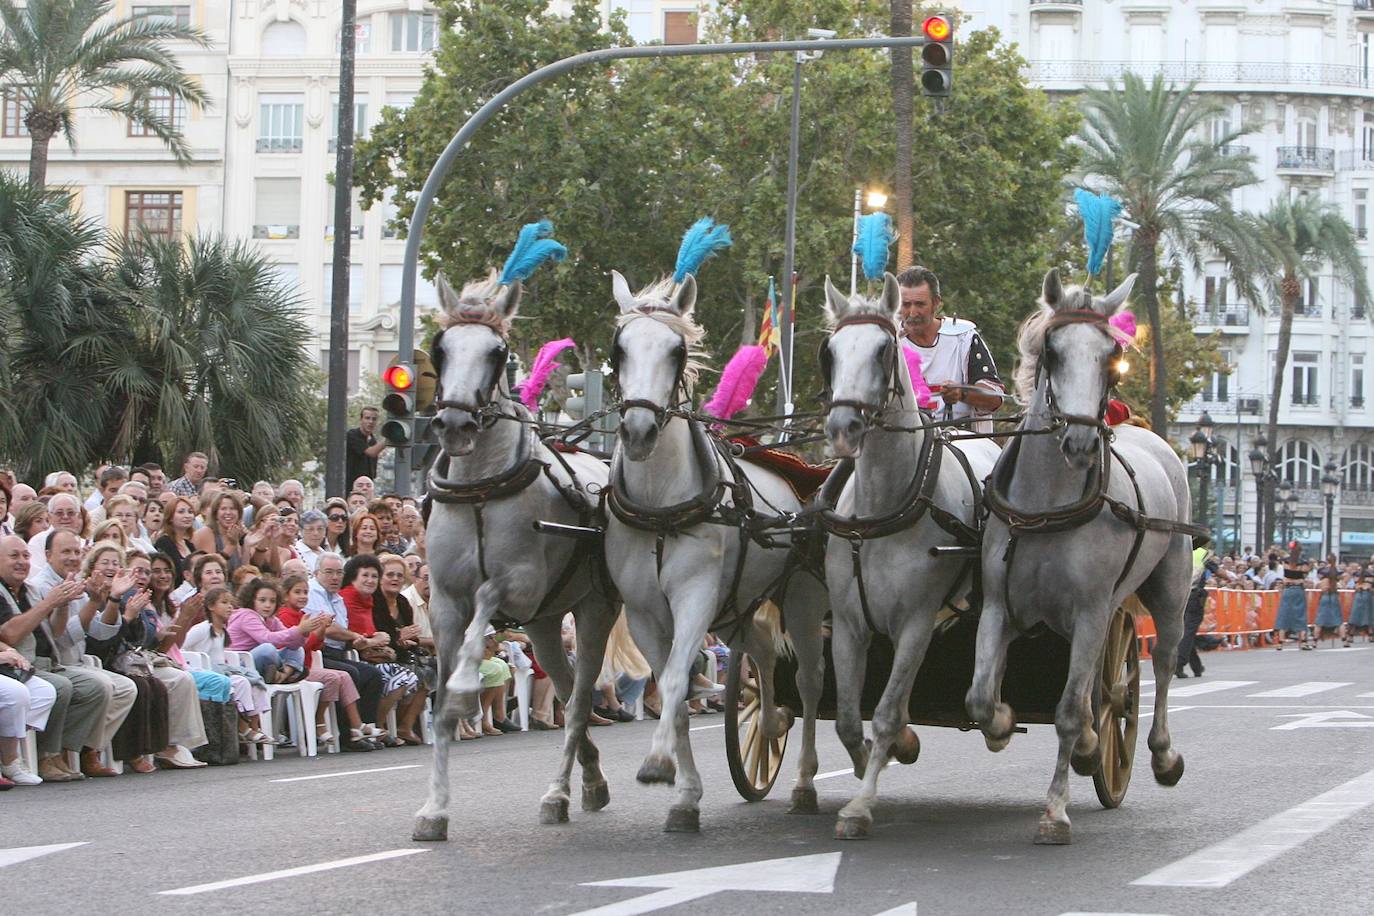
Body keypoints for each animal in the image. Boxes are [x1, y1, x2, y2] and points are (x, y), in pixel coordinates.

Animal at [412, 274, 618, 845]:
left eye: (498, 353)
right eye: (441, 347)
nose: (454, 423)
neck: (481, 489)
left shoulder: (521, 588)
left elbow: (486, 597)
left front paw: (465, 685)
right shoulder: (443, 604)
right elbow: (441, 709)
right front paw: (435, 809)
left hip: (592, 610)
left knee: (578, 700)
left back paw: (558, 793)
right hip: (547, 625)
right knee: (568, 692)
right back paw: (590, 782)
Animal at [604, 270, 824, 829]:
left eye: (677, 351)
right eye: (618, 349)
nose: (639, 431)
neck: (661, 507)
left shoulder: (695, 598)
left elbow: (676, 680)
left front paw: (659, 764)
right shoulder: (644, 612)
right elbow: (675, 687)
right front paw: (685, 795)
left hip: (798, 599)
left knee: (809, 679)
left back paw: (804, 780)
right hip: (737, 607)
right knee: (763, 655)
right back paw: (770, 721)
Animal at [813, 276, 1000, 840]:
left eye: (882, 350)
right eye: (830, 352)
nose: (844, 427)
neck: (882, 509)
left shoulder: (915, 623)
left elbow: (886, 713)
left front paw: (860, 805)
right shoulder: (849, 624)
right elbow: (848, 718)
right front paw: (868, 763)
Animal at [967, 271, 1192, 845]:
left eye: (1112, 354)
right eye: (1052, 351)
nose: (1082, 442)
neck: (1047, 504)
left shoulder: (1090, 609)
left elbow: (1068, 711)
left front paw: (1055, 810)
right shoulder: (998, 606)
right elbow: (980, 697)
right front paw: (1001, 723)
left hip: (1170, 583)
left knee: (1162, 659)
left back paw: (1161, 754)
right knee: (1094, 678)